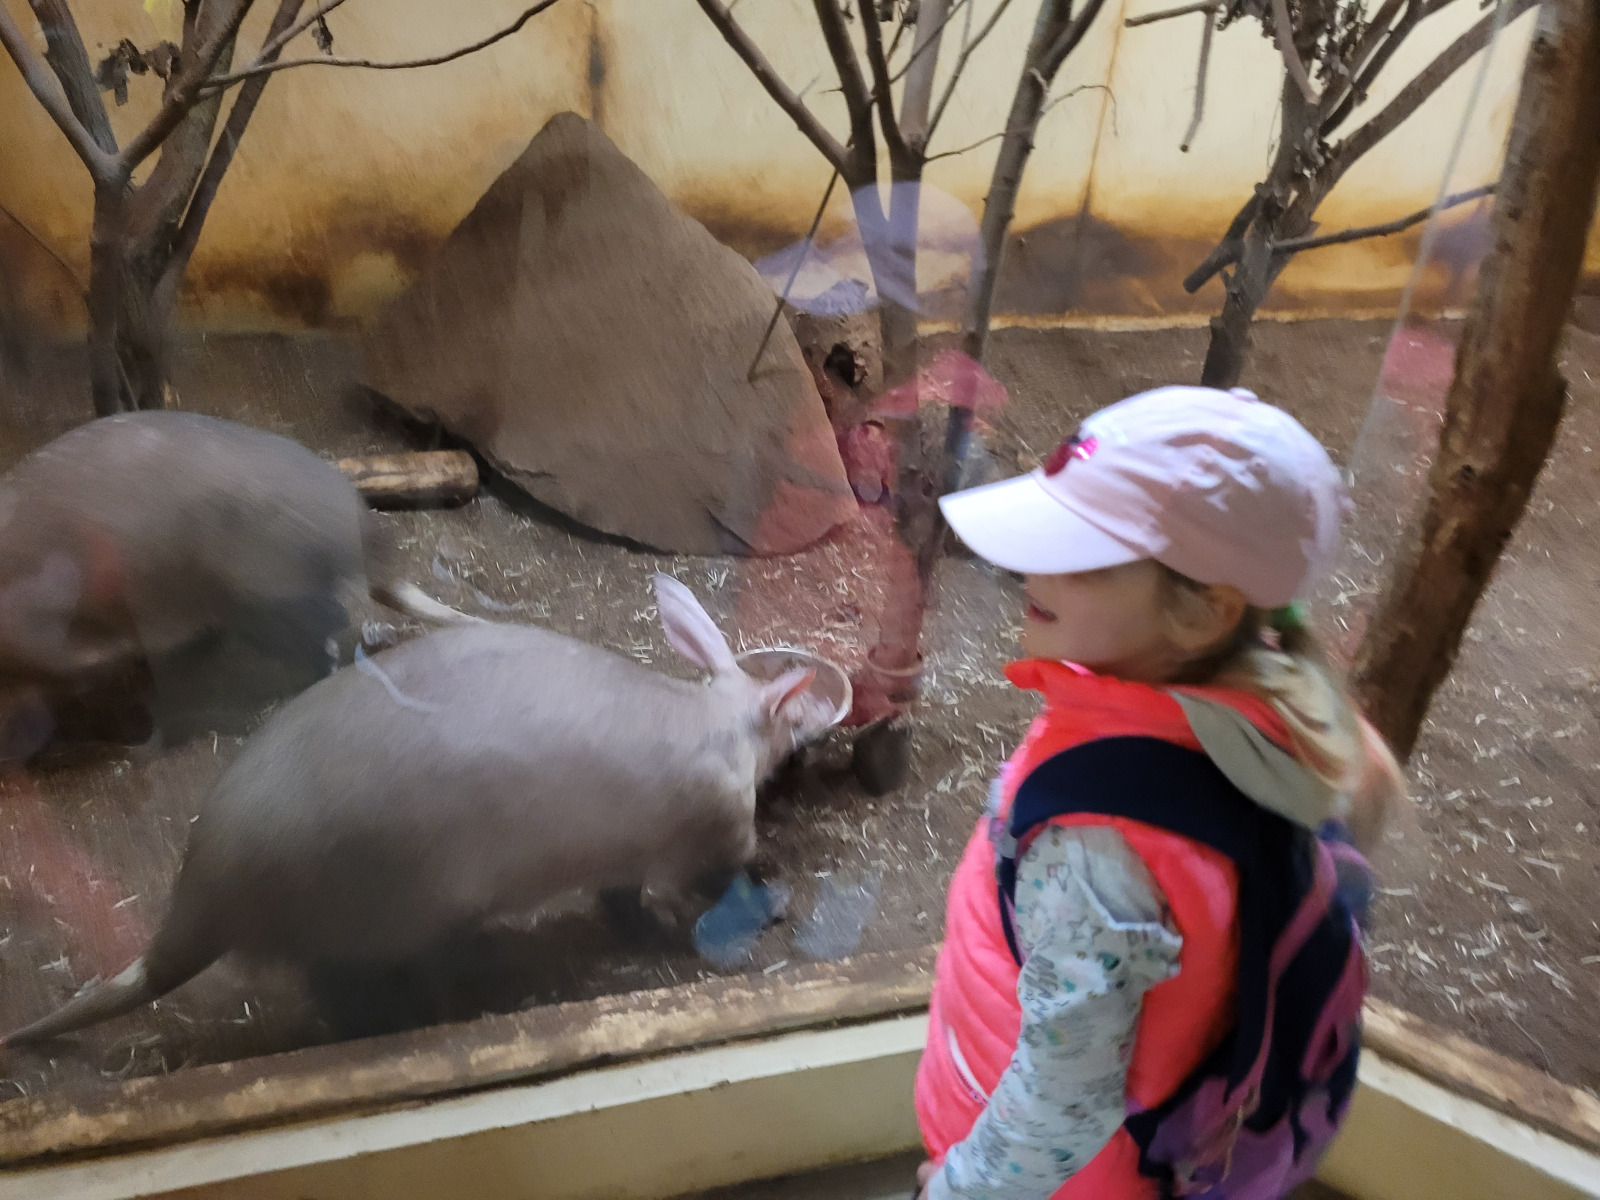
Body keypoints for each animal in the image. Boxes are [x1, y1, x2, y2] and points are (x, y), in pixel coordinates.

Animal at [2, 574, 818, 1046]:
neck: (718, 720)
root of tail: (205, 893)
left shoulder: (619, 860)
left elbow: (620, 901)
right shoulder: (715, 829)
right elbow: (721, 880)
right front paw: (768, 900)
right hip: (386, 918)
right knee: (339, 993)